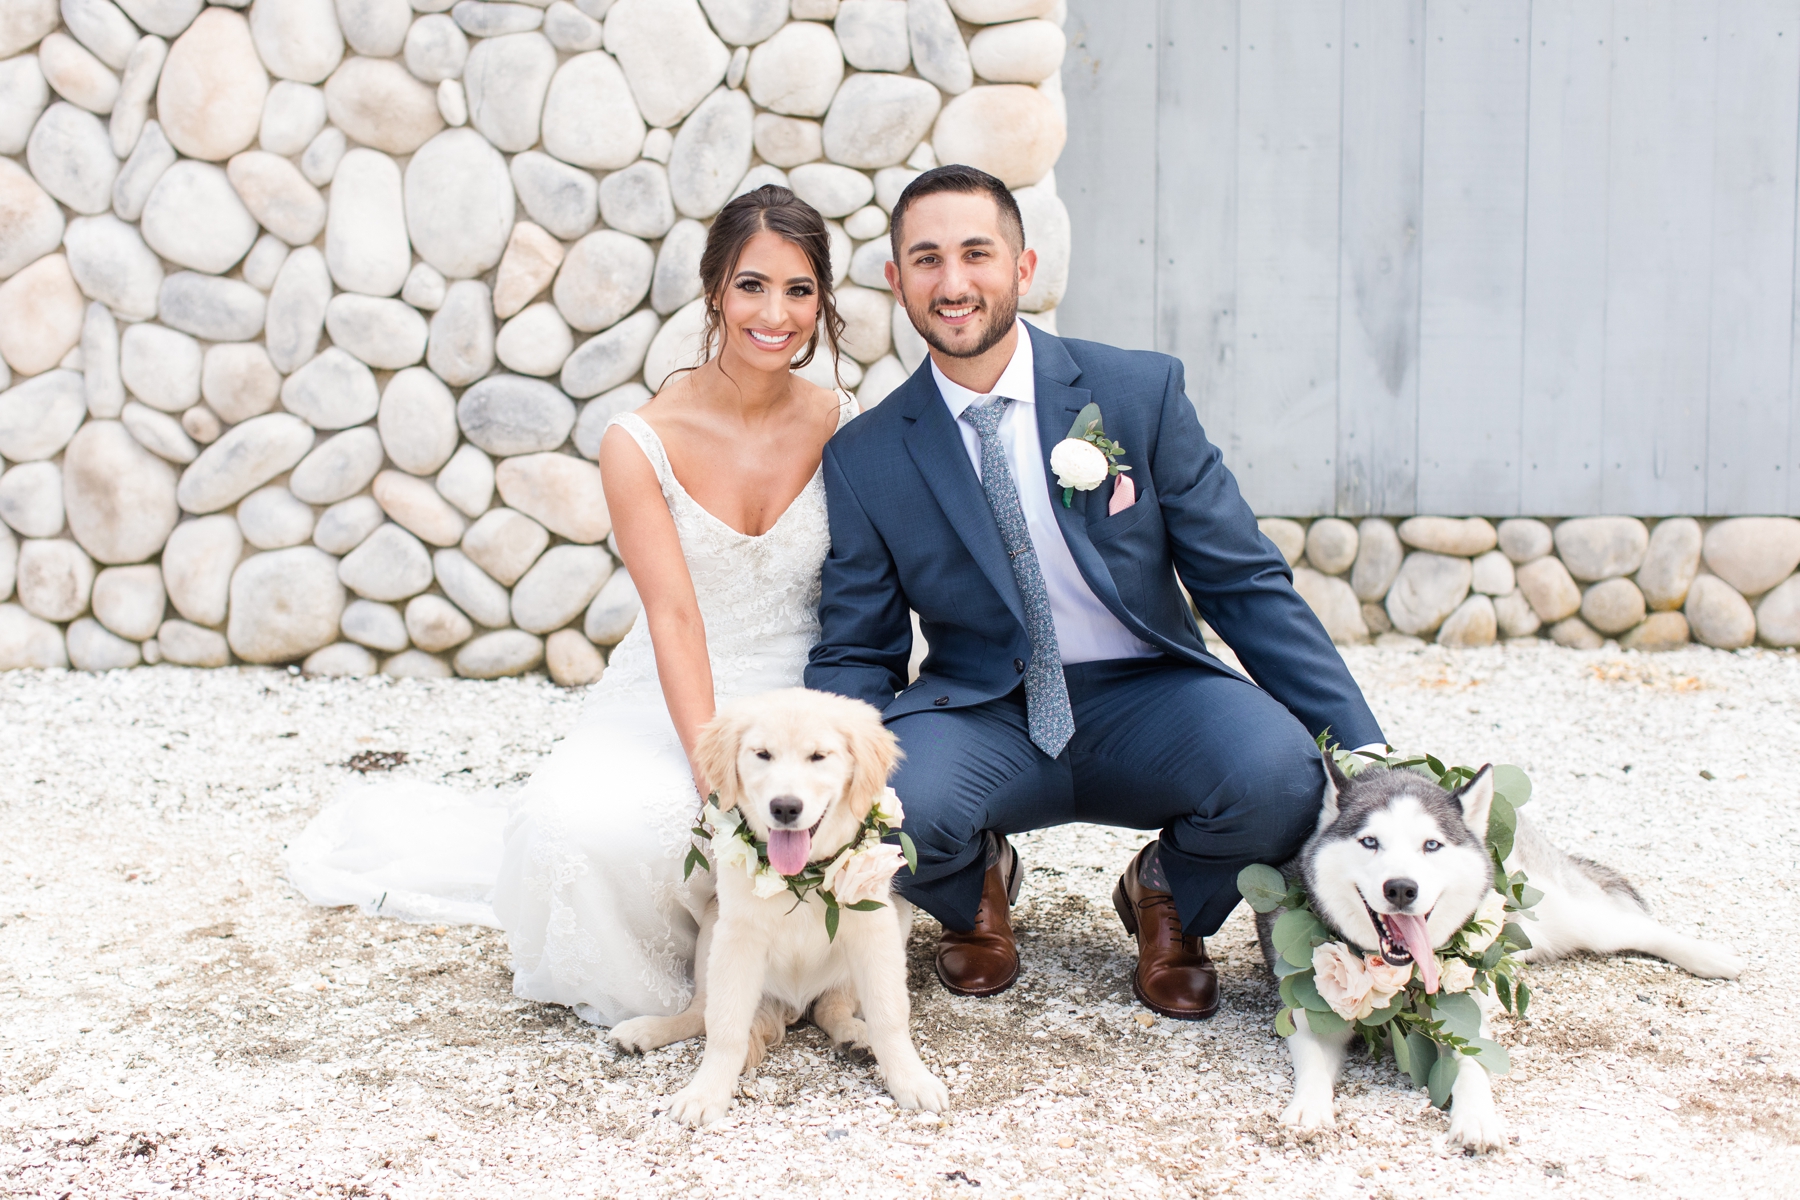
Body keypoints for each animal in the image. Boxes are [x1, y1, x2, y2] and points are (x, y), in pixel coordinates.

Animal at [608, 683, 950, 1129]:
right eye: (763, 755)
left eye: (818, 756)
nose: (785, 807)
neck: (800, 877)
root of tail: (790, 1004)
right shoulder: (738, 938)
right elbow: (724, 1027)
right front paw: (706, 1093)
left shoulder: (874, 930)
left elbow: (890, 1015)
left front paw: (912, 1080)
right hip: (711, 934)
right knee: (701, 1013)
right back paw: (643, 1031)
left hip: (897, 917)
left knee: (832, 1008)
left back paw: (856, 1037)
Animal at [1252, 759, 1742, 1151]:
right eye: (1370, 842)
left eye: (1431, 845)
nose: (1401, 888)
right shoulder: (1310, 1009)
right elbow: (1313, 1062)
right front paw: (1308, 1109)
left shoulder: (1462, 1015)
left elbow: (1473, 1063)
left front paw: (1477, 1118)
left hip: (1571, 917)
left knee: (1638, 927)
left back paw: (1713, 957)